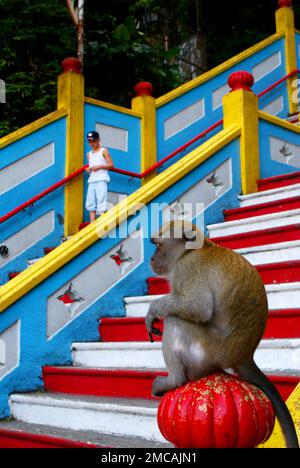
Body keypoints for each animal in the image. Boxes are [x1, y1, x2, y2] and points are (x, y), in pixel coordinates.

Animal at [146, 221, 298, 448]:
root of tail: (245, 356)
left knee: (176, 320)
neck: (191, 251)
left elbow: (199, 308)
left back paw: (175, 380)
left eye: (157, 244)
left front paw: (153, 310)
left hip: (208, 350)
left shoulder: (188, 269)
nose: (152, 259)